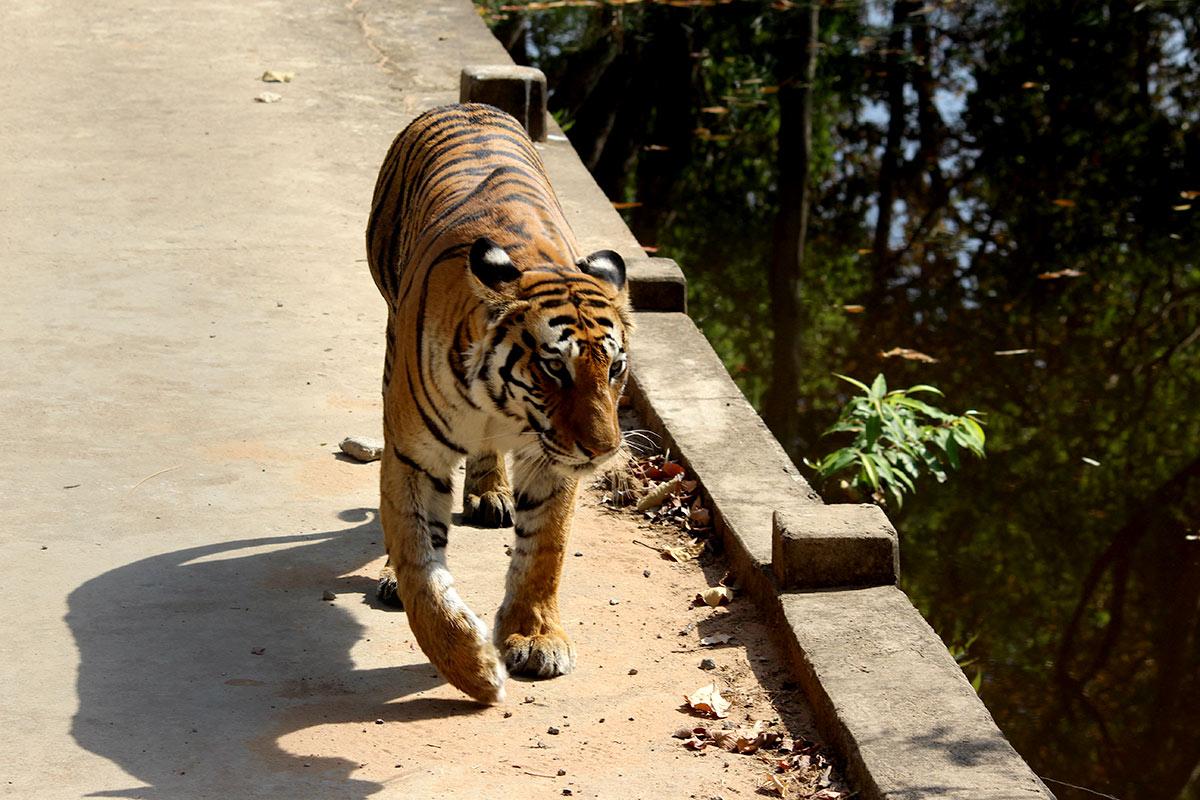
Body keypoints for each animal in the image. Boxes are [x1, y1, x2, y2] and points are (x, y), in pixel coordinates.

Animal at [364, 103, 632, 704]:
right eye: (555, 367)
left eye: (615, 369)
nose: (603, 450)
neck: (502, 404)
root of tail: (463, 105)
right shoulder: (415, 456)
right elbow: (419, 564)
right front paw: (472, 668)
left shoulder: (552, 461)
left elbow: (544, 551)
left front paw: (535, 637)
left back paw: (490, 492)